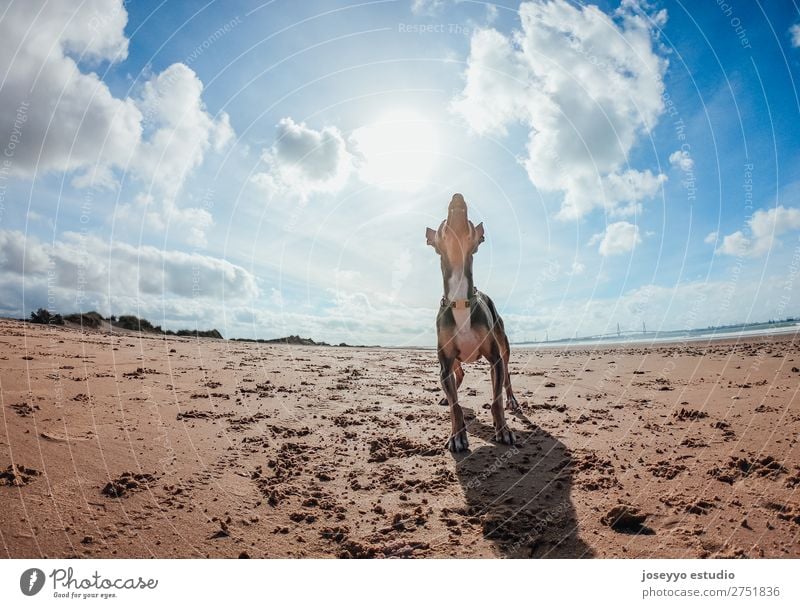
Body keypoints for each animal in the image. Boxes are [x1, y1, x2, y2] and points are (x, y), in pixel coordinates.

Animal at [424, 195, 520, 452]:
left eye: (468, 222)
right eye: (443, 223)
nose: (457, 195)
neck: (459, 300)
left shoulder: (495, 358)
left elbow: (496, 399)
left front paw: (503, 430)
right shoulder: (445, 362)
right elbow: (455, 406)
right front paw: (457, 435)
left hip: (504, 346)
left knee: (507, 377)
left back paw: (512, 400)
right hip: (454, 362)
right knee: (458, 377)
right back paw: (446, 395)